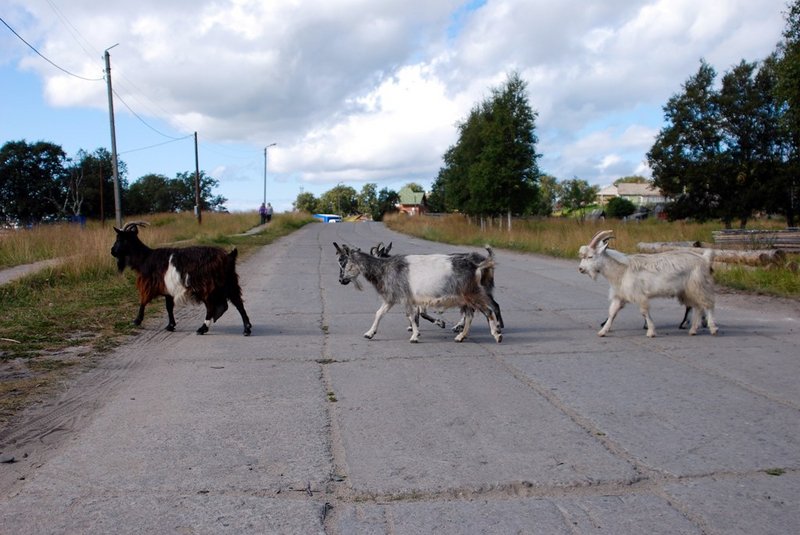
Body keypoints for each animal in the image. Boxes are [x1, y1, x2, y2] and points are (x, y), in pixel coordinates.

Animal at [111, 222, 252, 336]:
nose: (112, 251)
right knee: (238, 303)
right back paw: (247, 329)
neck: (145, 258)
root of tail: (229, 256)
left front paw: (136, 321)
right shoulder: (167, 288)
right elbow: (168, 306)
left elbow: (143, 301)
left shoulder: (150, 285)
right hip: (229, 282)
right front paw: (170, 325)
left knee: (211, 307)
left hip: (207, 286)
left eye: (121, 238)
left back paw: (202, 329)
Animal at [336, 242, 500, 344]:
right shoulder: (392, 298)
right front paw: (369, 333)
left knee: (488, 311)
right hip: (466, 298)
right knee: (470, 316)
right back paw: (460, 336)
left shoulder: (405, 297)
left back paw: (497, 334)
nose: (341, 280)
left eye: (345, 264)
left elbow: (410, 315)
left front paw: (414, 336)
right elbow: (379, 313)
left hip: (471, 294)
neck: (384, 268)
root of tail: (476, 266)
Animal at [580, 230, 716, 340]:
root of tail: (704, 259)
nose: (580, 269)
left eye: (590, 256)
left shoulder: (639, 295)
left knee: (707, 304)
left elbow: (644, 312)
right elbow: (612, 312)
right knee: (698, 307)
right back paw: (693, 330)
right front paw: (602, 331)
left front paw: (650, 332)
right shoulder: (620, 296)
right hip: (687, 291)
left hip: (698, 285)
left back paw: (713, 329)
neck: (622, 270)